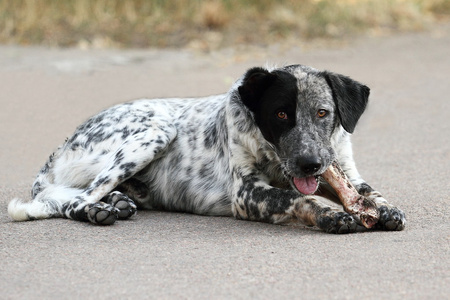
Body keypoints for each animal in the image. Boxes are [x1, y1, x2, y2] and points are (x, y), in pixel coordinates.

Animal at [8, 64, 406, 233]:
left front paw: (384, 209)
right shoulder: (246, 194)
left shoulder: (343, 170)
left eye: (323, 112)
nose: (309, 163)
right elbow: (300, 198)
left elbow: (369, 193)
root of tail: (61, 147)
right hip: (155, 132)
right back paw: (97, 211)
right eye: (280, 114)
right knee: (75, 199)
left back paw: (118, 202)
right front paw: (331, 215)